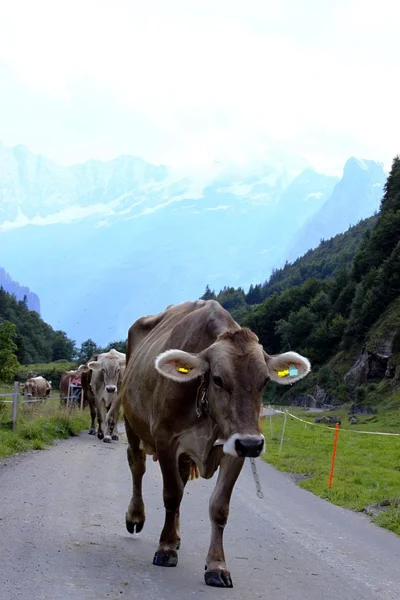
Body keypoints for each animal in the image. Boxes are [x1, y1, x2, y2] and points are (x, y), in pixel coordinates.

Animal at [122, 298, 312, 588]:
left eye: (264, 381)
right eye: (219, 379)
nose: (252, 444)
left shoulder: (235, 449)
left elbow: (219, 507)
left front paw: (216, 566)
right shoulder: (166, 439)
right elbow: (171, 494)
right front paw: (165, 548)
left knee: (180, 477)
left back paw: (177, 536)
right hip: (130, 420)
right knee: (137, 465)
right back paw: (136, 516)